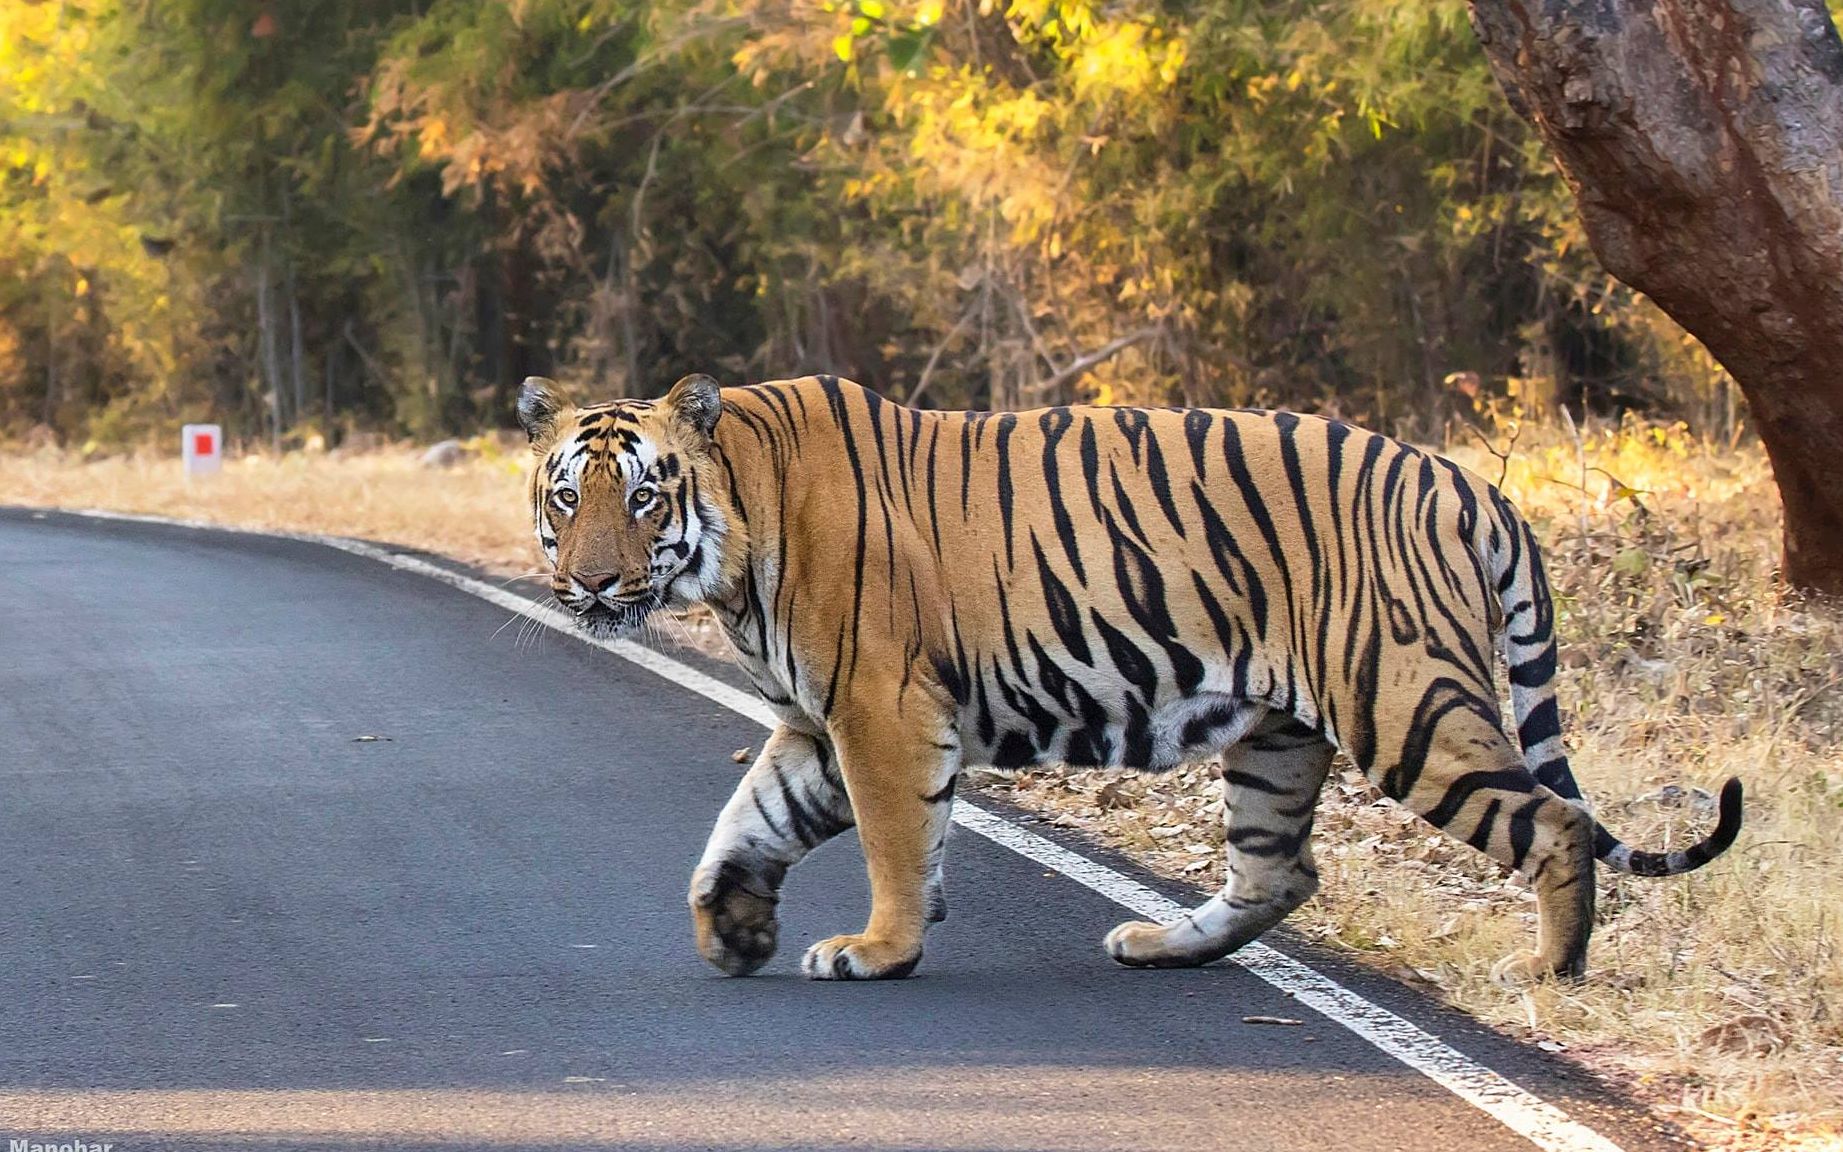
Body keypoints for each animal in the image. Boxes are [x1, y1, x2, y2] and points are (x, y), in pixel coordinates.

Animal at [519, 368, 1739, 980]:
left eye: (642, 499)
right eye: (566, 497)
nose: (588, 584)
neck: (737, 536)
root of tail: (1467, 483)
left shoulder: (881, 710)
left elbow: (894, 846)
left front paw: (879, 951)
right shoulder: (822, 726)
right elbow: (747, 820)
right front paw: (732, 928)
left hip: (1405, 702)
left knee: (1554, 823)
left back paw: (1550, 972)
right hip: (1277, 737)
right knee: (1280, 873)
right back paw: (1159, 944)